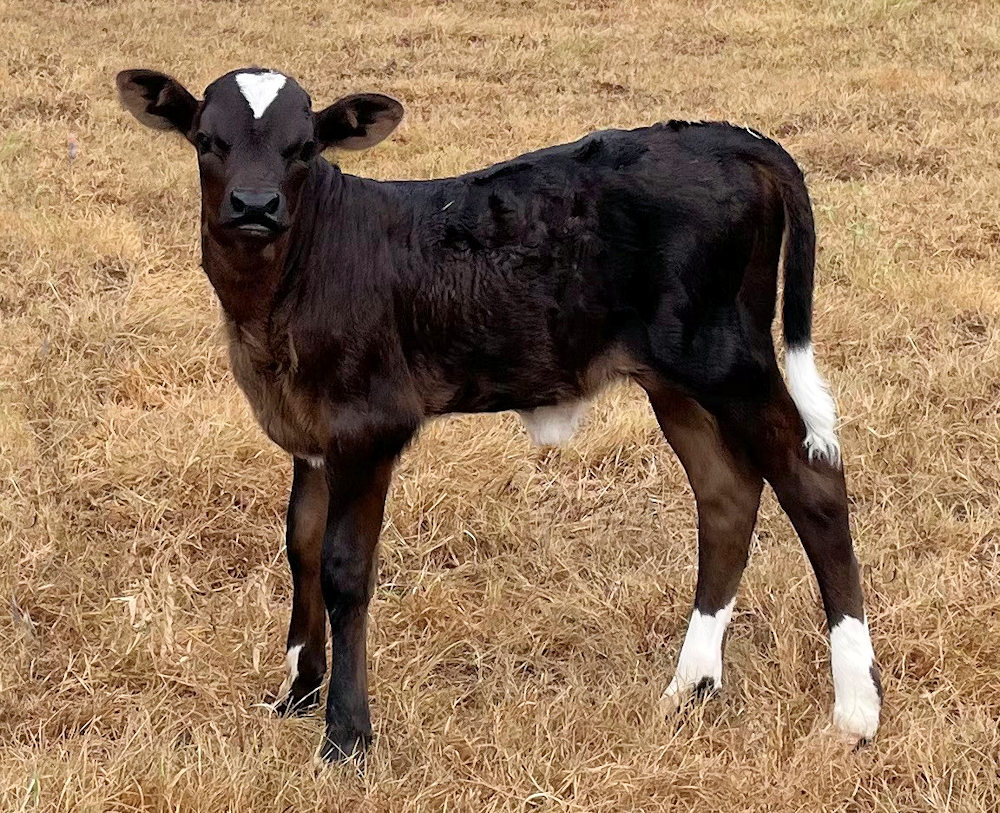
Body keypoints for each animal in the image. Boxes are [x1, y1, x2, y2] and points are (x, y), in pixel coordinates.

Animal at [115, 66, 882, 761]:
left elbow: (343, 568)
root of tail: (727, 137)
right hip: (674, 379)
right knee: (727, 495)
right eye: (206, 139)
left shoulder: (368, 427)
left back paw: (854, 710)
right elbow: (299, 546)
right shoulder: (309, 433)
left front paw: (346, 734)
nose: (255, 204)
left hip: (727, 359)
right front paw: (299, 692)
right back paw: (690, 684)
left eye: (304, 146)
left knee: (813, 483)